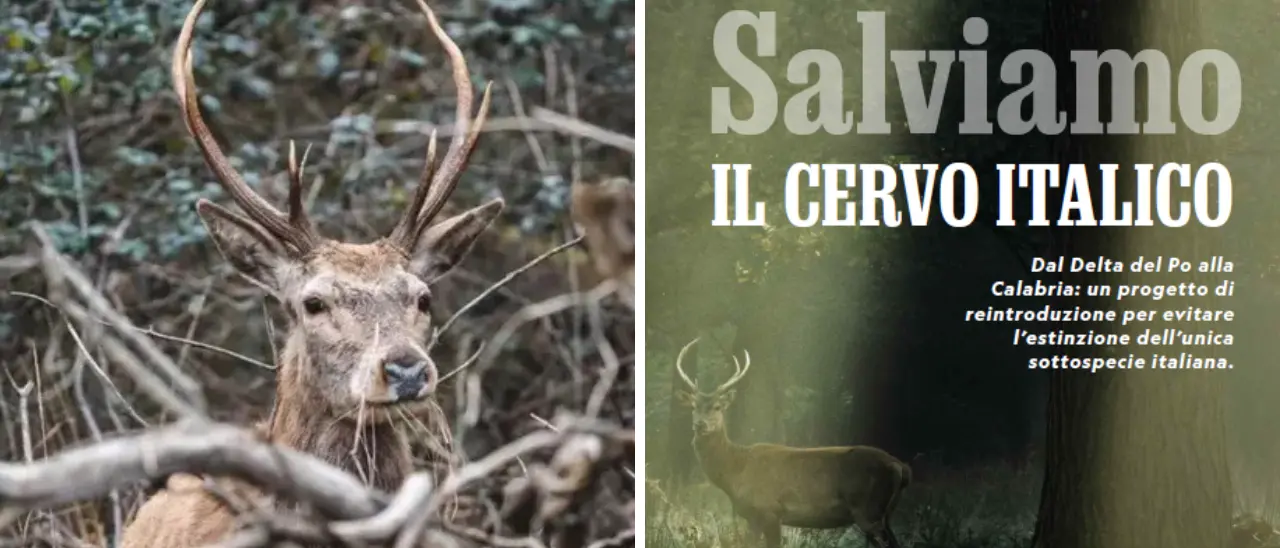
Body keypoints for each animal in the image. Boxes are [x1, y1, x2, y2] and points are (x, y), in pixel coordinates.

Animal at [674, 338, 912, 548]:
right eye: (694, 406)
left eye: (717, 407)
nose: (699, 425)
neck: (736, 471)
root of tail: (901, 467)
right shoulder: (752, 517)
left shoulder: (770, 510)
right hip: (884, 514)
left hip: (868, 511)